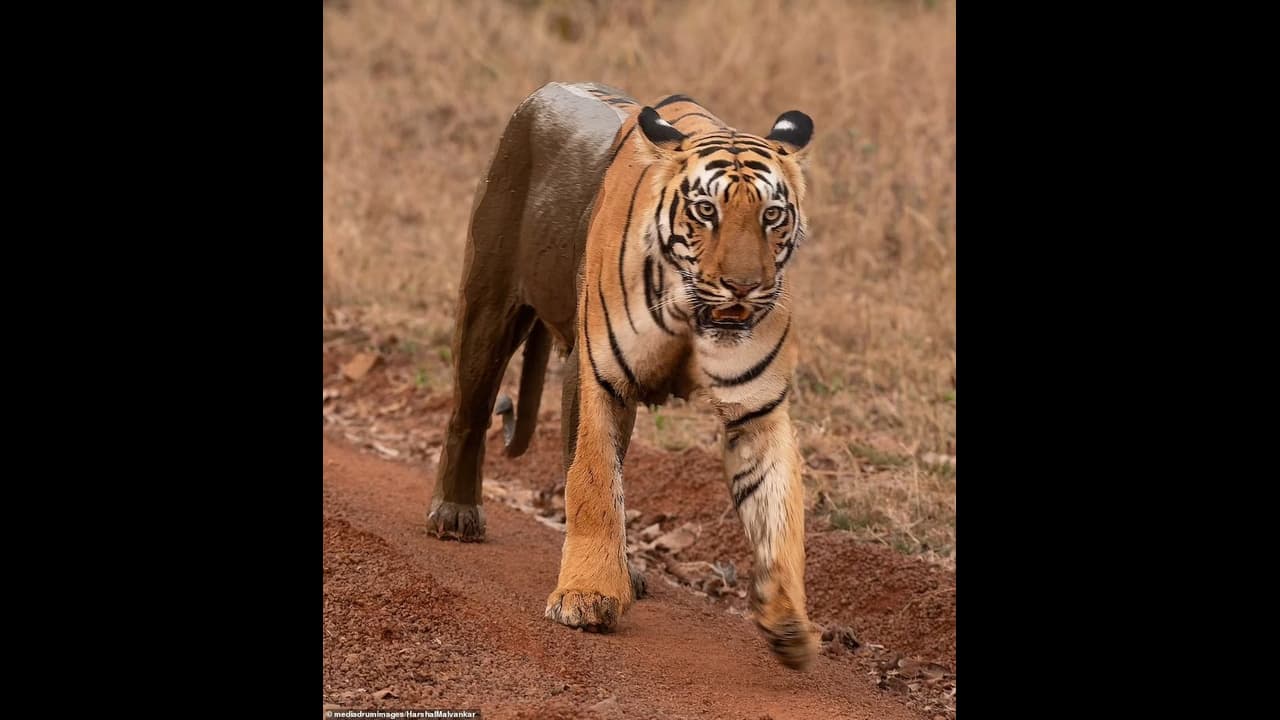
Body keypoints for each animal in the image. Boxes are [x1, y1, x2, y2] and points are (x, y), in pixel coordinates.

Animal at [427, 82, 818, 669]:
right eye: (706, 211)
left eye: (772, 215)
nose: (744, 286)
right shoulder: (597, 374)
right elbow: (593, 482)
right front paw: (587, 596)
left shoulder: (758, 404)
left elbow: (777, 510)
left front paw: (788, 622)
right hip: (488, 302)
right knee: (468, 413)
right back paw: (454, 514)